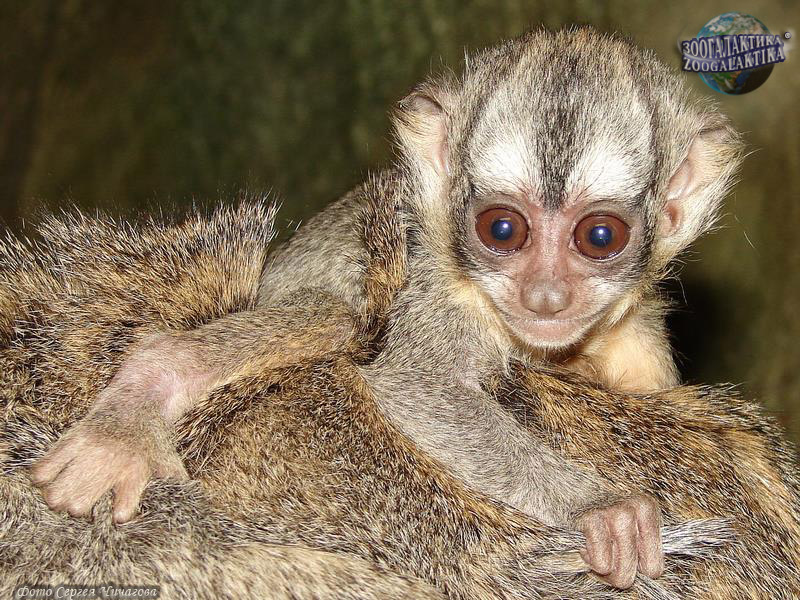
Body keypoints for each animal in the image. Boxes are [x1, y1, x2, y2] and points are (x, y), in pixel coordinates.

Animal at [30, 27, 748, 590]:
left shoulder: (638, 337)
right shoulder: (430, 287)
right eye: (503, 230)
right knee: (335, 317)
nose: (545, 296)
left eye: (600, 237)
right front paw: (601, 509)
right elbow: (416, 384)